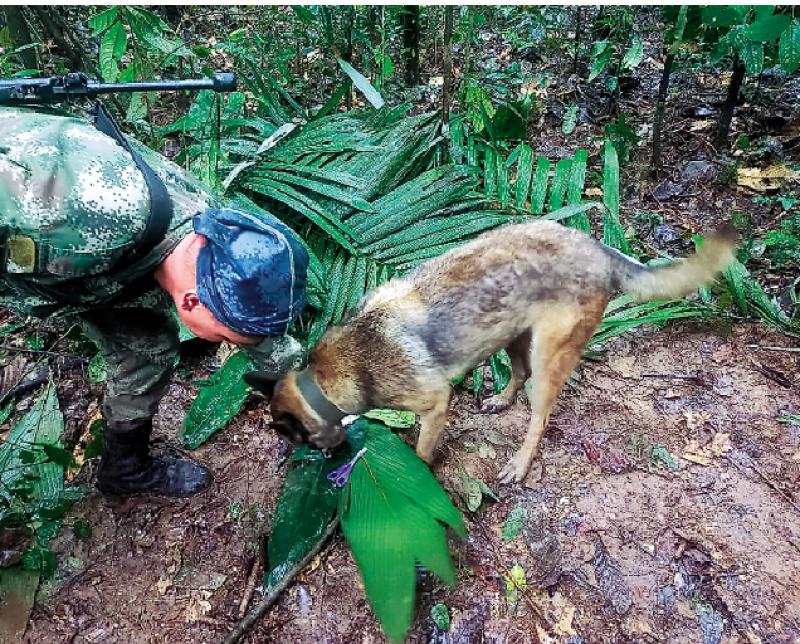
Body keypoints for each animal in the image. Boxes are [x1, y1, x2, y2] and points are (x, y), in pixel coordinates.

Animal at [245, 219, 736, 480]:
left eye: (295, 439)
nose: (329, 460)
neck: (329, 376)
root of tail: (596, 247)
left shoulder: (434, 403)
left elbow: (422, 450)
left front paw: (420, 473)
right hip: (513, 336)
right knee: (517, 374)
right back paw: (501, 400)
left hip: (547, 355)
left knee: (539, 416)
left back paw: (520, 462)